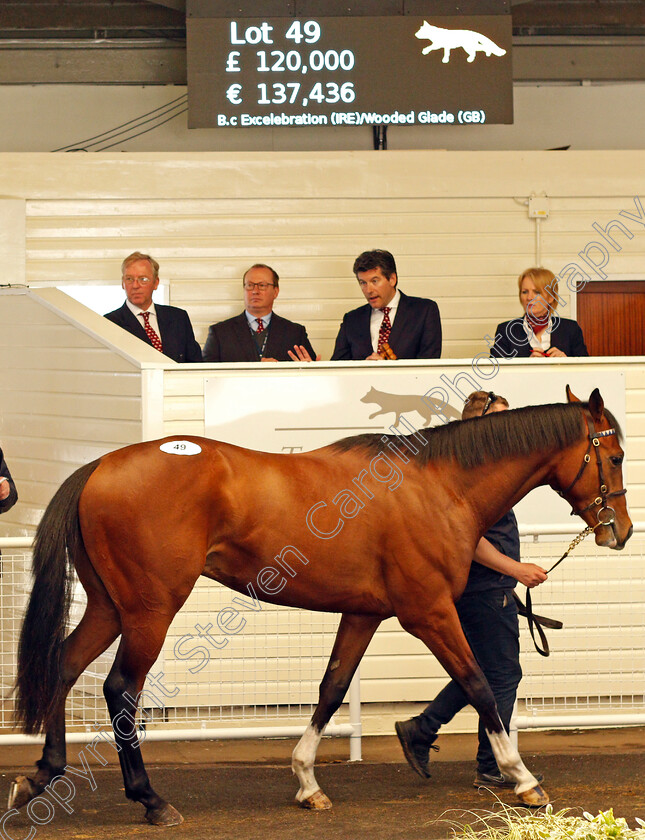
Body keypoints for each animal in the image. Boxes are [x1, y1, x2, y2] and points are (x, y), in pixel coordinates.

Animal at [12, 388, 632, 828]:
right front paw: (523, 778)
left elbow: (332, 689)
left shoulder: (363, 614)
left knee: (65, 665)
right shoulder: (429, 613)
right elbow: (479, 684)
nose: (620, 531)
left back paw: (41, 775)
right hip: (149, 611)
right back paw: (150, 799)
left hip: (109, 607)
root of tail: (98, 468)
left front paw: (308, 781)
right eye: (617, 455)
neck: (438, 486)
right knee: (120, 688)